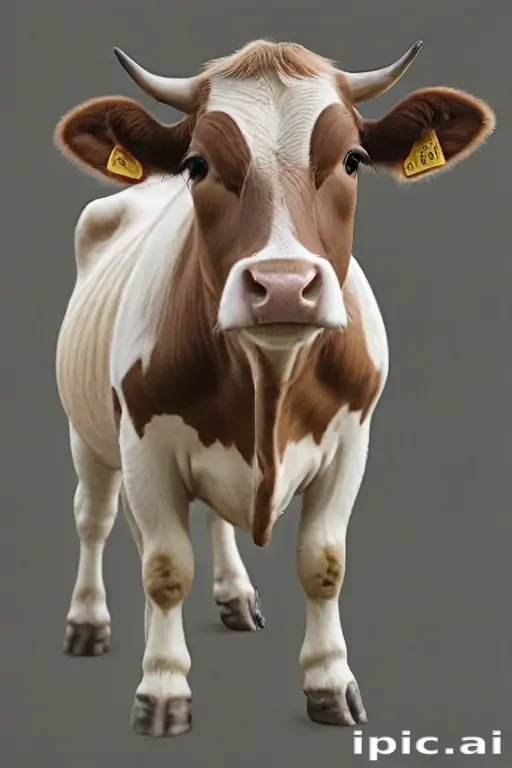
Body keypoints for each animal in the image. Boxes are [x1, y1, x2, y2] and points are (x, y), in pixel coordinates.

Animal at [53, 39, 495, 737]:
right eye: (196, 164)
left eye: (353, 159)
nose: (284, 285)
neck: (270, 379)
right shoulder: (145, 445)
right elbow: (164, 568)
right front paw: (162, 689)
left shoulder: (350, 442)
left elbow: (323, 564)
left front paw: (330, 684)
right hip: (89, 433)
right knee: (93, 518)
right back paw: (88, 623)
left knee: (211, 521)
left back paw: (235, 596)